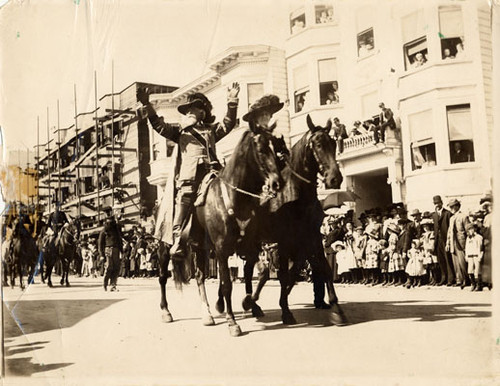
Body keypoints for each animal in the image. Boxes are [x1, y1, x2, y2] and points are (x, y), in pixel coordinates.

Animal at [161, 128, 284, 336]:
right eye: (260, 150)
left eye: (277, 148)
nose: (278, 183)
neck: (235, 197)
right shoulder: (221, 249)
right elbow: (227, 284)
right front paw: (232, 322)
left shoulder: (248, 246)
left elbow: (263, 273)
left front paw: (248, 302)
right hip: (164, 246)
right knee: (163, 277)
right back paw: (166, 311)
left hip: (200, 248)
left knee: (199, 277)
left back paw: (207, 314)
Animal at [240, 114, 346, 326]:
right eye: (318, 144)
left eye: (333, 143)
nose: (334, 178)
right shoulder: (284, 241)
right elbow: (283, 275)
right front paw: (285, 310)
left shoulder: (311, 238)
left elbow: (320, 268)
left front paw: (336, 309)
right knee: (253, 271)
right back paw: (251, 302)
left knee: (258, 271)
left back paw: (253, 303)